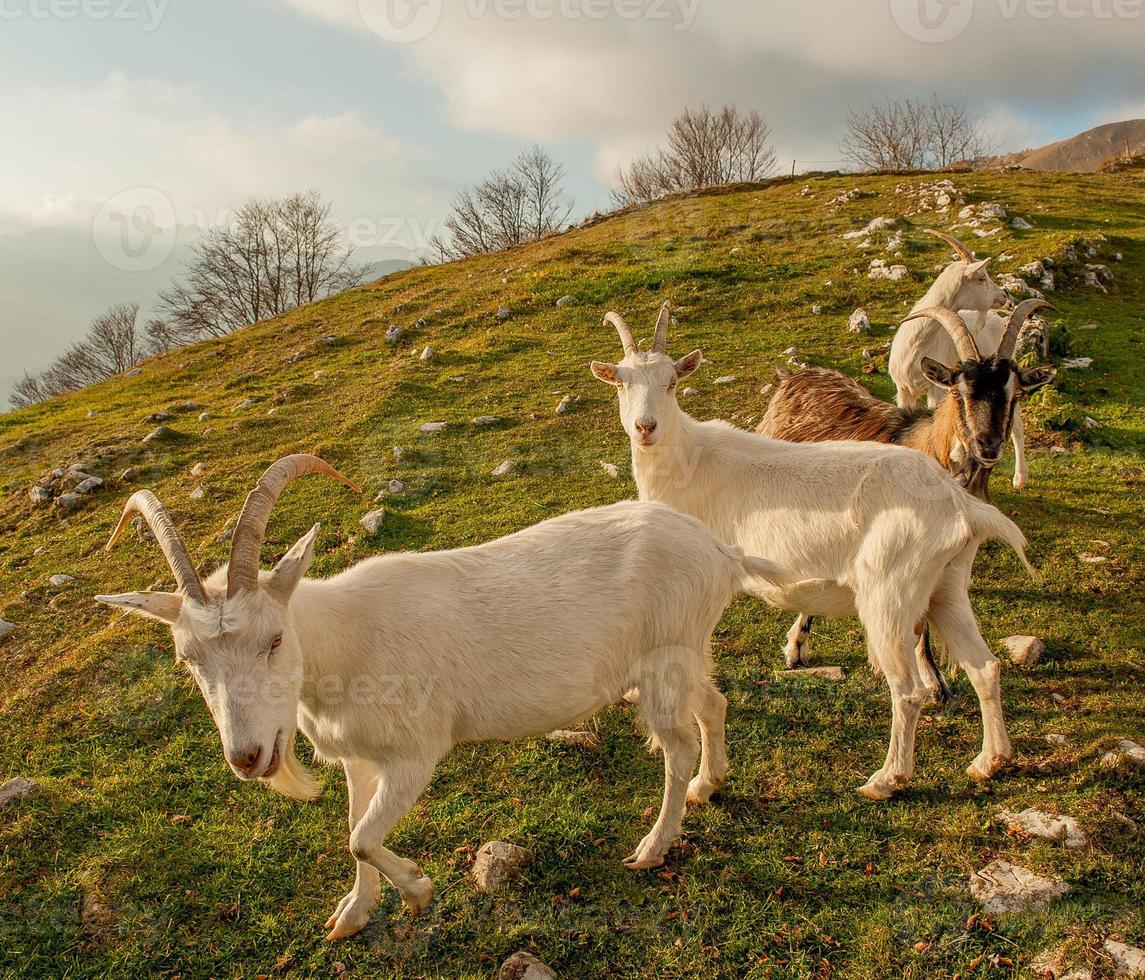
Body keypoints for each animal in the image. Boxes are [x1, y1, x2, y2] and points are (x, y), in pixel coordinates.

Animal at [96, 455, 796, 938]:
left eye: (273, 639)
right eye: (189, 658)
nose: (246, 757)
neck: (344, 641)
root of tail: (719, 548)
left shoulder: (415, 752)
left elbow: (362, 838)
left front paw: (418, 889)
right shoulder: (358, 758)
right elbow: (352, 829)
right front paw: (351, 915)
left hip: (664, 660)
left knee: (675, 746)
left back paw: (653, 848)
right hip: (686, 654)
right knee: (713, 706)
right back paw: (710, 784)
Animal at [595, 306, 1035, 805]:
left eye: (671, 382)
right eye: (621, 383)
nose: (645, 427)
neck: (689, 460)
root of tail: (960, 504)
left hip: (889, 594)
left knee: (908, 691)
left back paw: (886, 779)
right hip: (947, 587)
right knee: (985, 667)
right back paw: (990, 761)